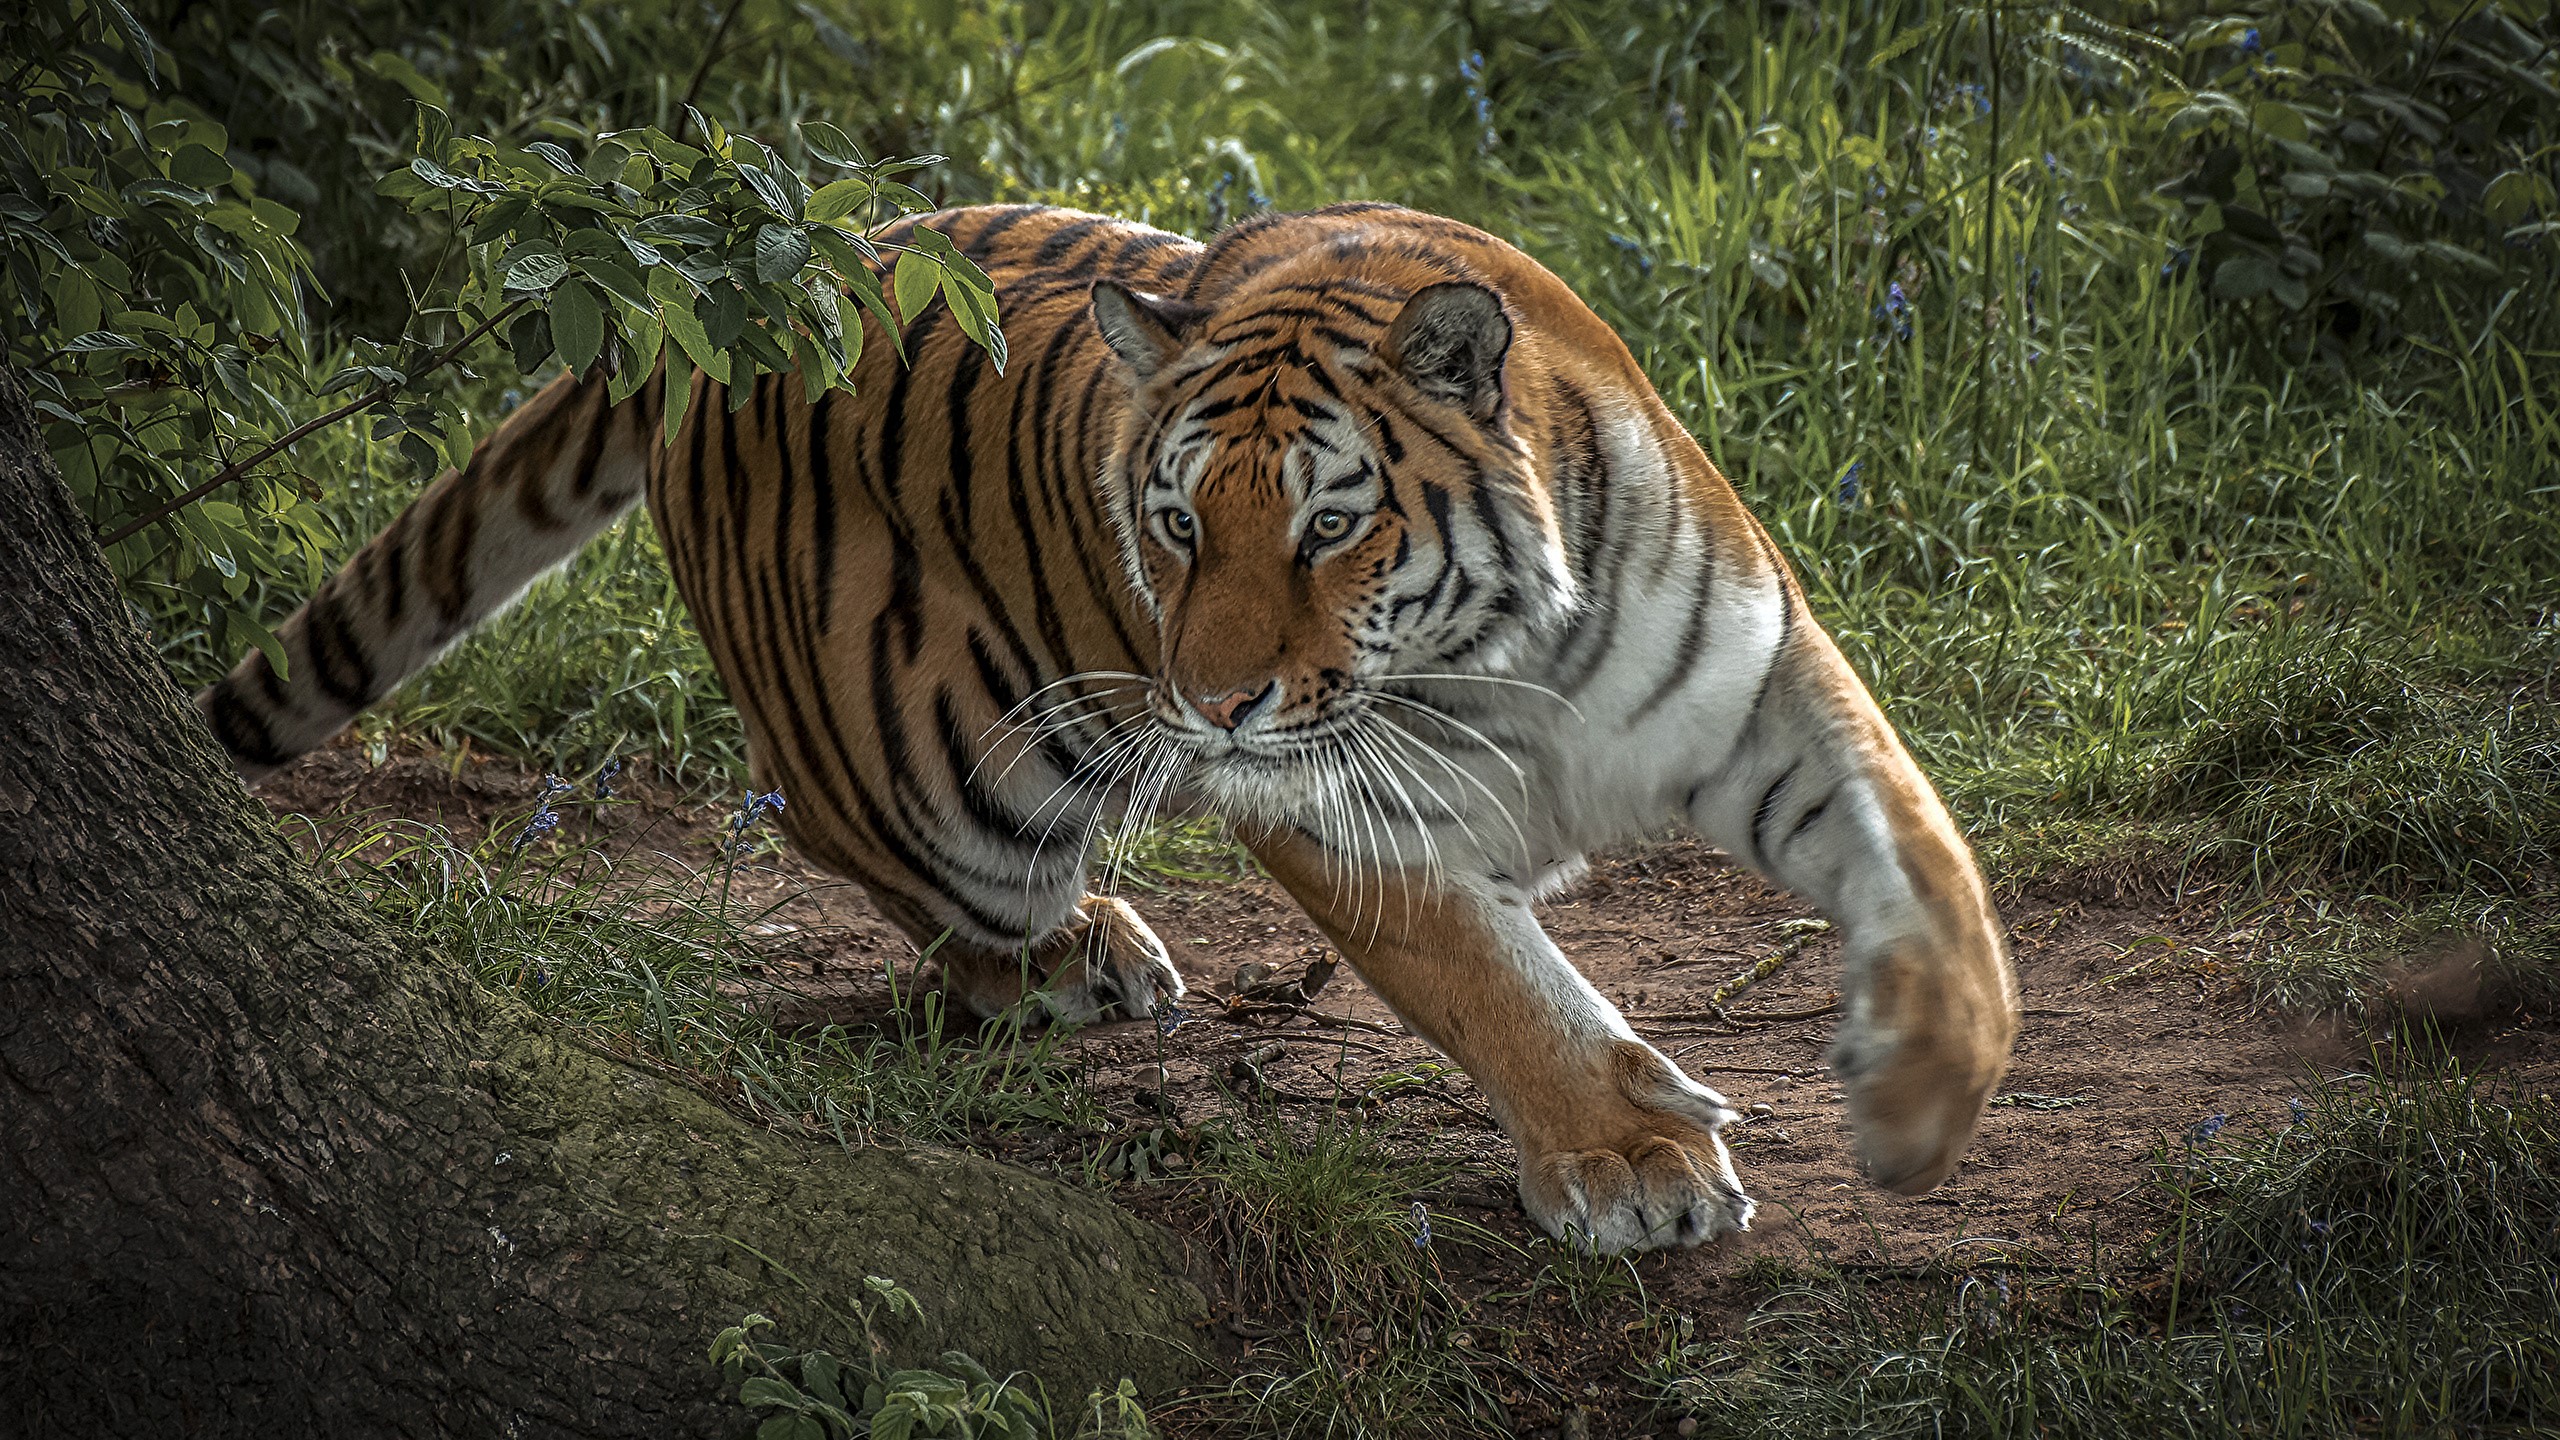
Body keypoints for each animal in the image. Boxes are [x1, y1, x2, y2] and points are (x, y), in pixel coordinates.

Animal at [198, 202, 2019, 1253]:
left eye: (1327, 527)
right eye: (1176, 526)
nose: (1207, 703)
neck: (1510, 651)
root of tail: (722, 297)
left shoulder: (1763, 678)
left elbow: (1923, 857)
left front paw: (1926, 1086)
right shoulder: (1336, 805)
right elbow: (1492, 984)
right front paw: (1634, 1159)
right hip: (935, 783)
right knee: (866, 847)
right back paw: (1071, 953)